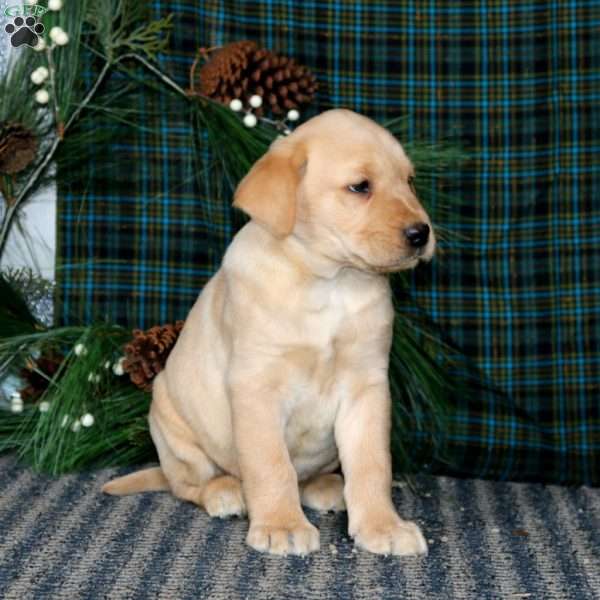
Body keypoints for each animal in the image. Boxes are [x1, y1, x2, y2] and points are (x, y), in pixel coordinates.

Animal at [103, 109, 436, 556]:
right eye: (360, 186)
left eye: (410, 181)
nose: (421, 233)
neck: (330, 282)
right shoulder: (256, 386)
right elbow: (271, 465)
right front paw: (282, 525)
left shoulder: (367, 386)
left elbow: (372, 464)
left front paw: (383, 526)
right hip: (170, 422)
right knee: (187, 485)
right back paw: (225, 492)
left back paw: (327, 486)